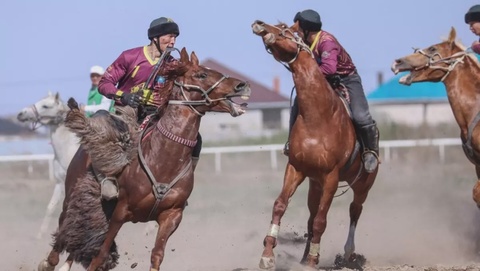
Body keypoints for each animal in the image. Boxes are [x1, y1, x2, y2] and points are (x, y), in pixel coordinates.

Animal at [16, 92, 79, 240]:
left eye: (45, 106)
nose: (21, 114)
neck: (68, 150)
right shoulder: (60, 183)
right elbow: (51, 207)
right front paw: (40, 234)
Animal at [37, 49, 251, 271]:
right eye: (202, 74)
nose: (241, 85)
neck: (163, 161)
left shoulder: (172, 215)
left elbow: (157, 255)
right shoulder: (120, 212)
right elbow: (100, 254)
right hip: (71, 194)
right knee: (64, 228)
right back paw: (49, 262)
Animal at [251, 20, 378, 270]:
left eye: (285, 29)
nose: (259, 23)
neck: (318, 117)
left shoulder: (331, 177)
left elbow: (321, 220)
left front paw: (313, 260)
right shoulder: (296, 168)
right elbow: (280, 205)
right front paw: (268, 254)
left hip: (362, 186)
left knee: (354, 211)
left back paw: (348, 253)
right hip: (314, 184)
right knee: (311, 216)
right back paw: (303, 256)